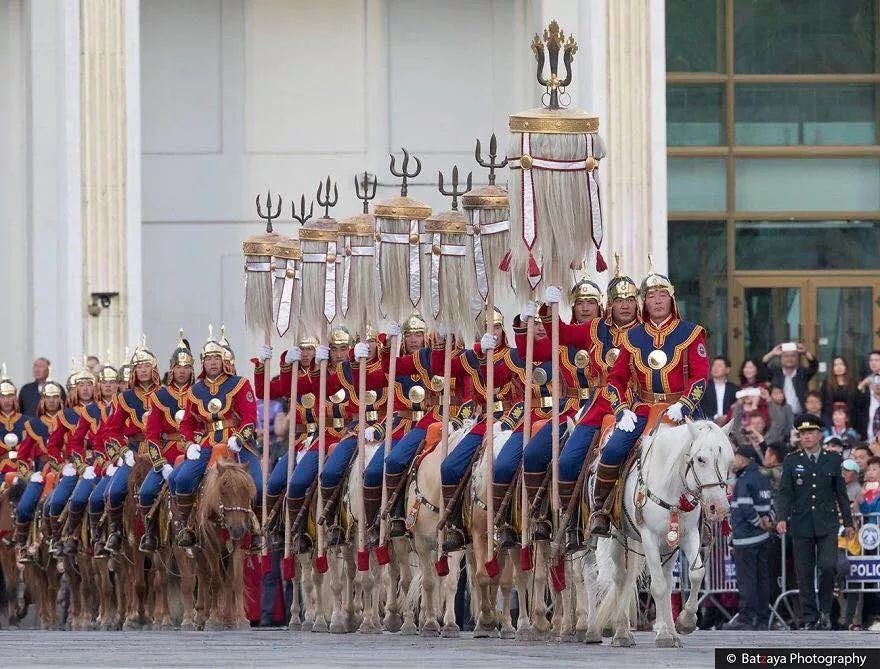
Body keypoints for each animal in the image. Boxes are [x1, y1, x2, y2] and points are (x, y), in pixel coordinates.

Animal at [194, 456, 256, 628]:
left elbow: (235, 580)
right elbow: (215, 581)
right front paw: (214, 618)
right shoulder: (210, 548)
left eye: (246, 491)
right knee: (203, 575)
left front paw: (239, 618)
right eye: (222, 491)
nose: (237, 529)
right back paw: (202, 615)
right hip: (198, 551)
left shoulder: (238, 545)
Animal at [592, 420, 736, 644]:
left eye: (728, 461)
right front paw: (665, 636)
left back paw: (667, 628)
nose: (719, 508)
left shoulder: (687, 536)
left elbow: (695, 574)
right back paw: (621, 630)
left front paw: (684, 622)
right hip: (618, 536)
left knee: (666, 581)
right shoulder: (649, 537)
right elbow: (658, 585)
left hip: (667, 546)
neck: (671, 489)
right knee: (621, 577)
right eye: (700, 459)